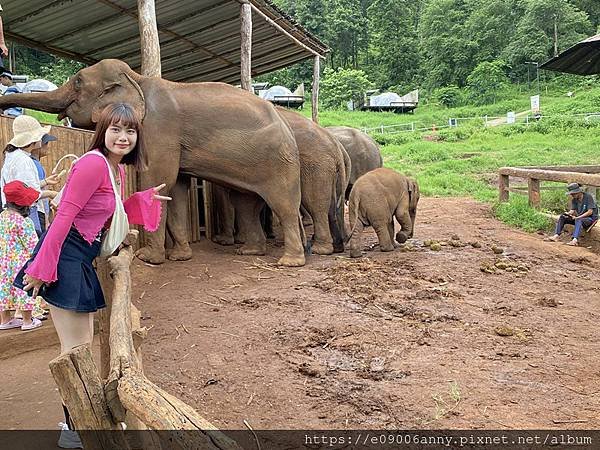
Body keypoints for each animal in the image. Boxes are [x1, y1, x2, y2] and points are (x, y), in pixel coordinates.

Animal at [0, 58, 308, 266]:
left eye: (77, 82)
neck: (136, 79)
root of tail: (285, 124)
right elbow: (176, 188)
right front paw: (180, 257)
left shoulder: (159, 129)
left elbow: (157, 179)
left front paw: (147, 258)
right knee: (245, 204)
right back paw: (250, 251)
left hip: (280, 161)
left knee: (284, 205)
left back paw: (289, 262)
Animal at [213, 105, 350, 253]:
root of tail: (336, 145)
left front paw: (224, 241)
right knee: (330, 205)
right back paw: (336, 247)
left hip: (317, 167)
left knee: (317, 203)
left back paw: (319, 248)